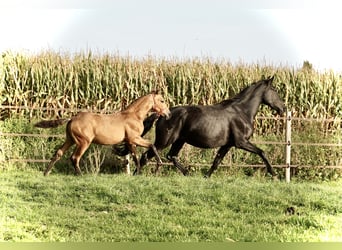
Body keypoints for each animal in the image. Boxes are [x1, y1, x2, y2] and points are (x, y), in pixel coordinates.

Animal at [34, 91, 171, 176]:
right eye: (162, 100)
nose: (168, 113)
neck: (134, 115)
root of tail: (72, 118)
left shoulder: (129, 141)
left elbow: (136, 156)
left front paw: (137, 172)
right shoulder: (134, 139)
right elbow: (148, 148)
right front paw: (157, 165)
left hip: (70, 140)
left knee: (59, 153)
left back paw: (46, 173)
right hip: (83, 142)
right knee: (74, 158)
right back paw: (81, 175)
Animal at [117, 76, 286, 178]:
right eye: (275, 90)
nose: (283, 109)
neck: (242, 111)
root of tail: (163, 114)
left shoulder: (228, 144)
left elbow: (217, 161)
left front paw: (206, 176)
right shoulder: (241, 142)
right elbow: (262, 152)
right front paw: (274, 174)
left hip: (179, 141)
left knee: (171, 156)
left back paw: (187, 173)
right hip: (164, 141)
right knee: (148, 155)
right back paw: (137, 174)